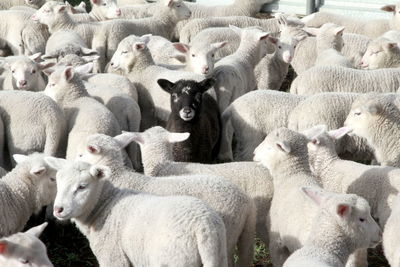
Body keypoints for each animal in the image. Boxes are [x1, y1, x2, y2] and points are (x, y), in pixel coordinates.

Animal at [45, 159, 230, 267]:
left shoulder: (114, 258)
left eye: (82, 186)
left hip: (174, 260)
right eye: (57, 182)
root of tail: (203, 227)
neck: (104, 206)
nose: (58, 209)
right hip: (220, 255)